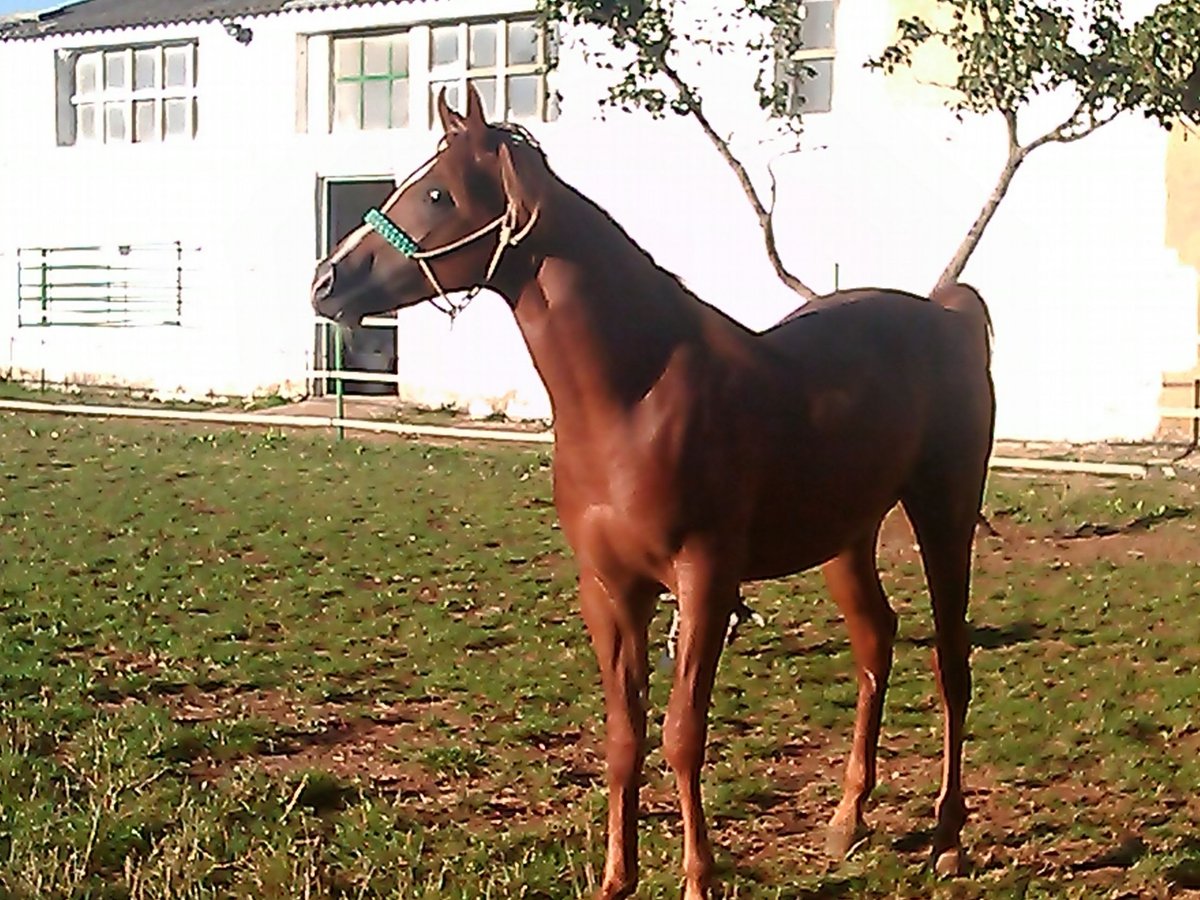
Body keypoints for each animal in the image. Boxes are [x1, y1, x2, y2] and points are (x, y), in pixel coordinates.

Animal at [311, 86, 995, 900]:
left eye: (439, 193)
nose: (326, 281)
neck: (634, 399)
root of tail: (948, 314)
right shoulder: (611, 589)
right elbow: (623, 736)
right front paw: (616, 878)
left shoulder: (704, 580)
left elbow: (681, 734)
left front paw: (699, 878)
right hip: (845, 538)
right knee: (876, 643)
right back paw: (846, 819)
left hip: (943, 514)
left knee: (951, 663)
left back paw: (948, 840)